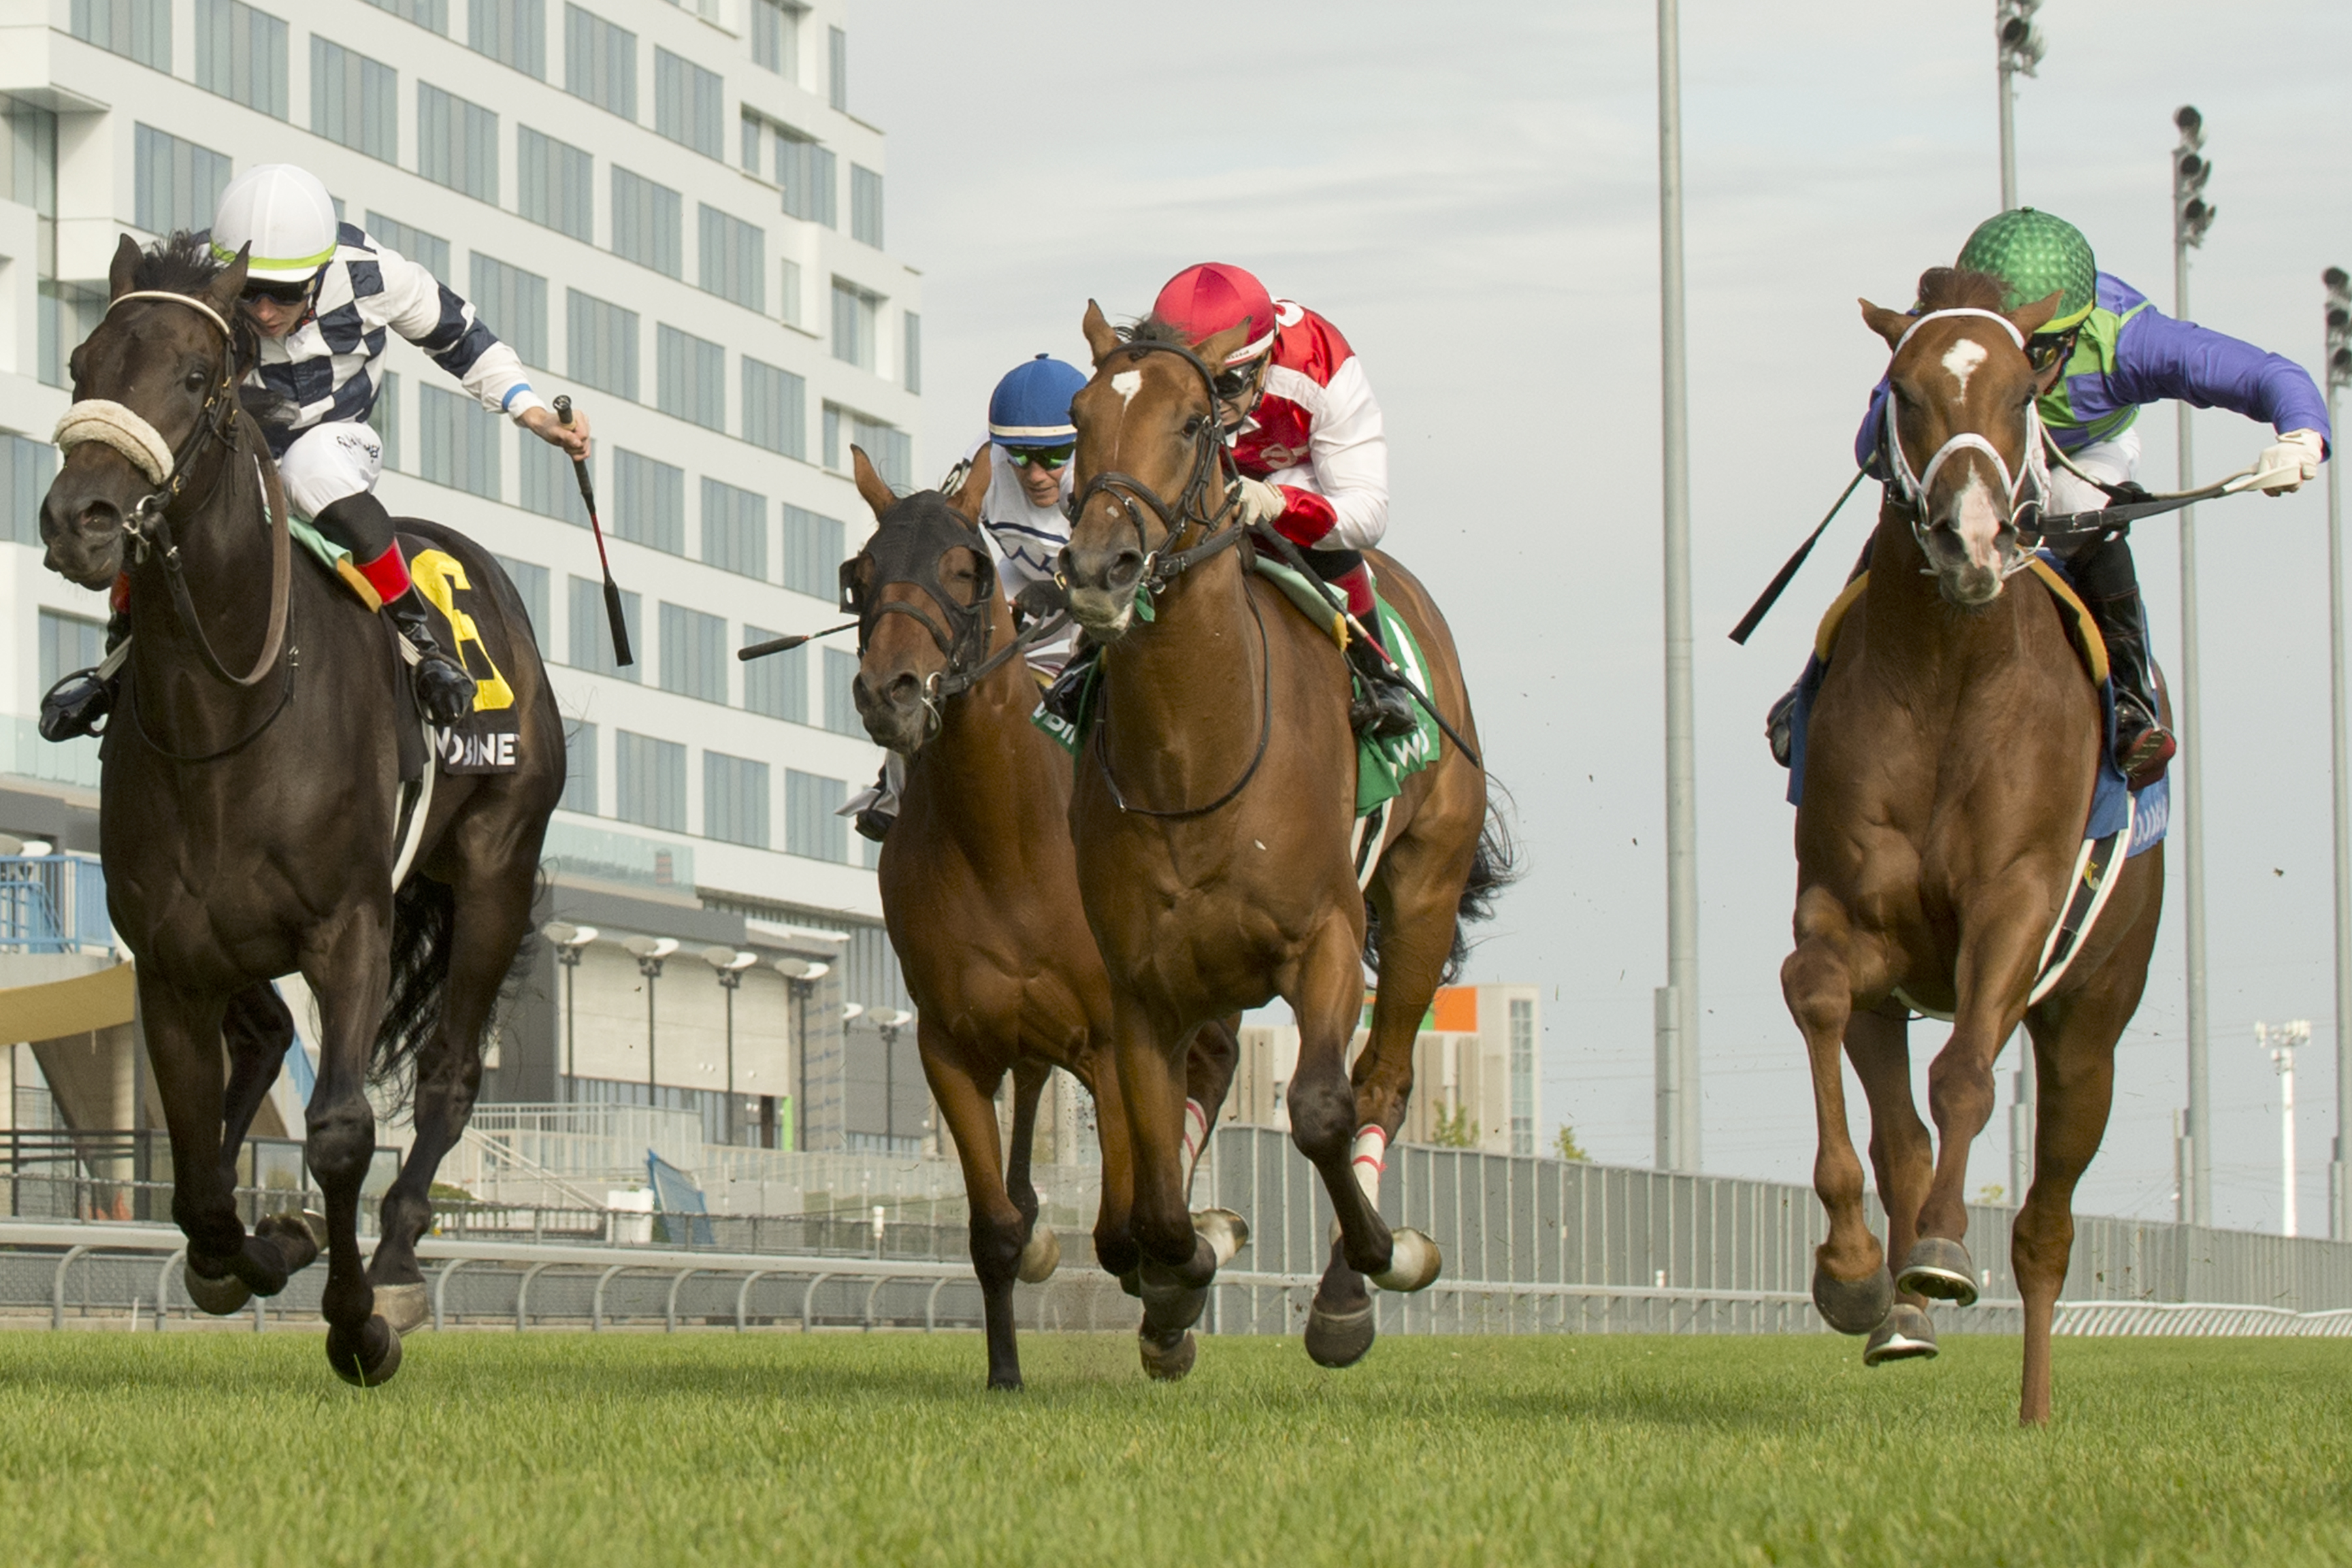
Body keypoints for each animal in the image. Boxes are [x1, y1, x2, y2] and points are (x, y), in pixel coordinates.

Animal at [39, 233, 562, 1382]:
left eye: (199, 378)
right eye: (80, 364)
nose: (77, 520)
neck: (224, 713)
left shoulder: (350, 926)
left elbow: (338, 1132)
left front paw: (359, 1321)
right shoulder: (167, 958)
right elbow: (194, 1180)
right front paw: (260, 1248)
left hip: (497, 868)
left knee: (449, 1072)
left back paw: (402, 1261)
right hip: (232, 937)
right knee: (271, 1035)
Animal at [847, 446, 1251, 1392]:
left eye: (966, 570)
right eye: (861, 575)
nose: (891, 693)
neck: (1004, 835)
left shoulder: (1109, 1041)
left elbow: (1124, 1229)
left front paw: (1176, 1291)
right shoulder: (949, 1045)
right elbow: (995, 1229)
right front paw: (1005, 1369)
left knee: (1206, 1076)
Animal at [1063, 303, 1514, 1373]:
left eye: (1193, 424)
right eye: (1077, 420)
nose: (1099, 570)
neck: (1196, 750)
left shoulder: (1327, 941)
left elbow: (1319, 1108)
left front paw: (1375, 1266)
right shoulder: (1140, 979)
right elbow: (1154, 1176)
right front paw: (1180, 1276)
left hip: (1424, 894)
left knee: (1383, 1080)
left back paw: (1356, 1284)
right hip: (1214, 964)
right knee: (1218, 1069)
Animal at [1778, 270, 2164, 1420]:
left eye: (2021, 393)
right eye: (1901, 393)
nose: (1973, 538)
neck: (1950, 672)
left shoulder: (2015, 904)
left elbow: (1966, 1081)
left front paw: (1946, 1253)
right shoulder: (1849, 916)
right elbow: (1819, 998)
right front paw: (1855, 1272)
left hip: (2092, 1024)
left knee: (2047, 1222)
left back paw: (2032, 1406)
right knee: (1900, 1138)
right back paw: (1900, 1316)